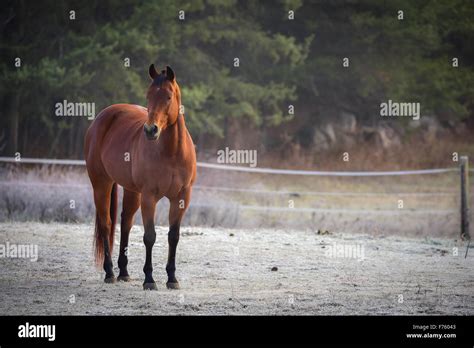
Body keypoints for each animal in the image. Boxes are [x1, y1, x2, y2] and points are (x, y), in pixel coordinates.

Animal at [84, 64, 196, 290]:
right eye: (148, 95)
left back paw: (124, 272)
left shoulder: (181, 197)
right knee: (106, 223)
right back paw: (110, 273)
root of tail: (103, 116)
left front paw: (172, 278)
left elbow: (173, 236)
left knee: (125, 222)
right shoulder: (149, 197)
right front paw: (149, 279)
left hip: (131, 191)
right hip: (101, 184)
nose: (151, 130)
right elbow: (150, 236)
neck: (172, 152)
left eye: (168, 97)